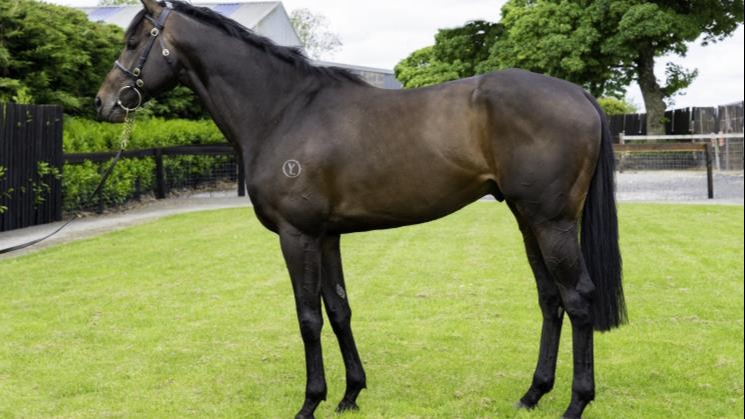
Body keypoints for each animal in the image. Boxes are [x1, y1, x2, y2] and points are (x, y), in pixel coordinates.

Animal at [95, 1, 627, 417]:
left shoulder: (297, 235)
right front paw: (350, 394)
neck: (284, 109)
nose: (103, 103)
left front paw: (310, 401)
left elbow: (308, 317)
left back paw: (576, 403)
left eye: (132, 41)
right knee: (550, 299)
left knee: (578, 298)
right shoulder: (326, 235)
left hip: (551, 221)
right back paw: (533, 394)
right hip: (526, 218)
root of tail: (578, 93)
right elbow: (339, 309)